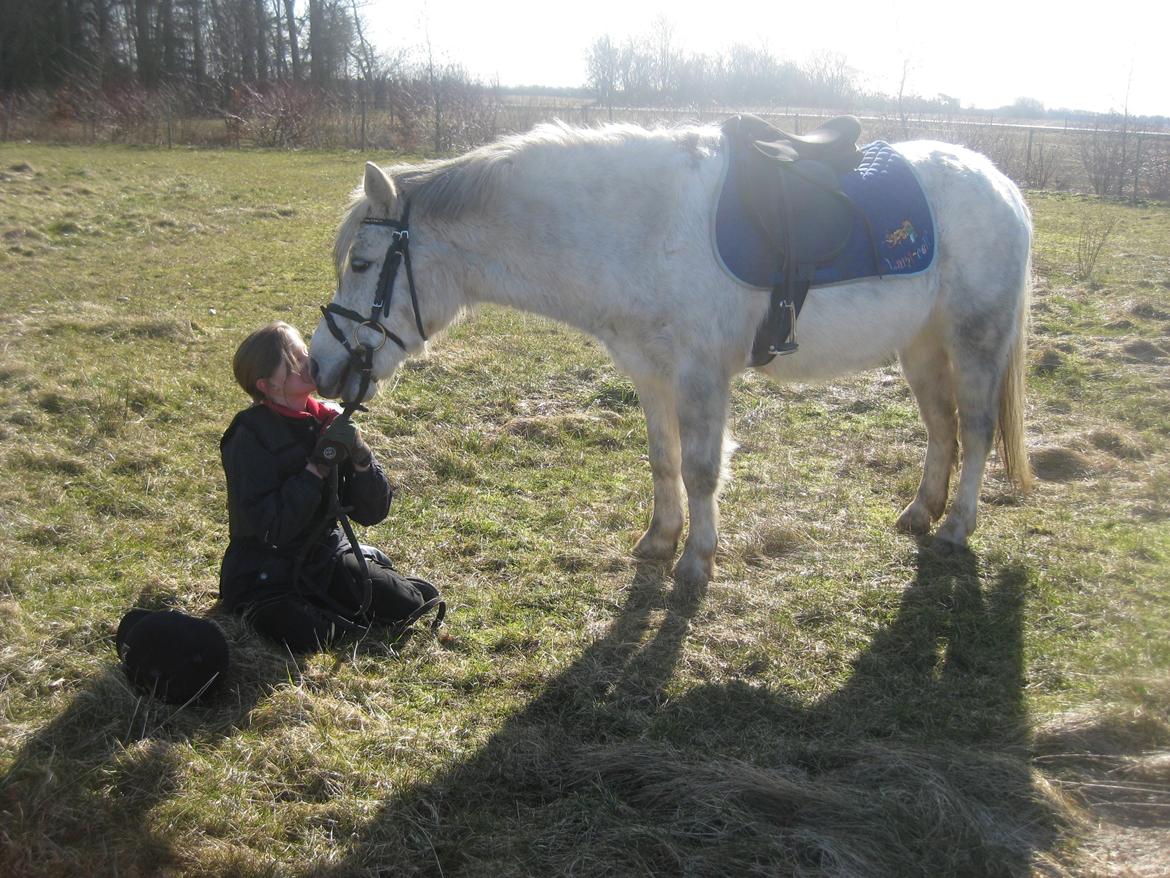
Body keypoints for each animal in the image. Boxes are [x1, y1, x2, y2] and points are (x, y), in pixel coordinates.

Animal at [306, 120, 1029, 587]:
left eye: (363, 263)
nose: (320, 366)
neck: (640, 229)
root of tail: (1002, 184)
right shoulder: (650, 373)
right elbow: (664, 460)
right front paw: (659, 540)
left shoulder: (701, 376)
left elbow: (703, 469)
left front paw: (697, 561)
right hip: (922, 348)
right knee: (942, 428)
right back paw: (920, 512)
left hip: (974, 340)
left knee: (977, 430)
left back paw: (956, 525)